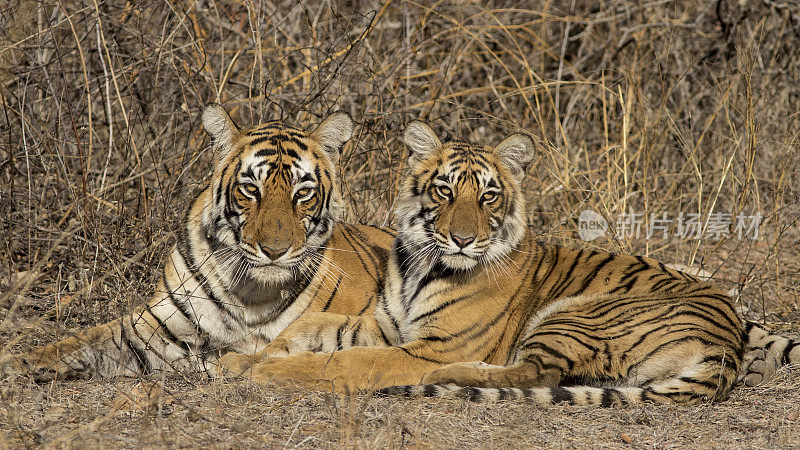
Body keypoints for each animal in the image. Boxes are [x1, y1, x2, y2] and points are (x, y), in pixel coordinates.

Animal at [0, 104, 394, 380]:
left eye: (303, 193)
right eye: (251, 189)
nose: (274, 251)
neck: (252, 293)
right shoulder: (150, 328)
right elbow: (74, 344)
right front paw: (16, 363)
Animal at [223, 121, 800, 406]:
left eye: (489, 196)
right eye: (444, 190)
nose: (462, 239)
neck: (420, 264)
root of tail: (728, 347)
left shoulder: (429, 344)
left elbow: (345, 360)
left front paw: (266, 371)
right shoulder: (386, 321)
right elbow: (313, 326)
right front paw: (239, 361)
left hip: (576, 314)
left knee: (533, 372)